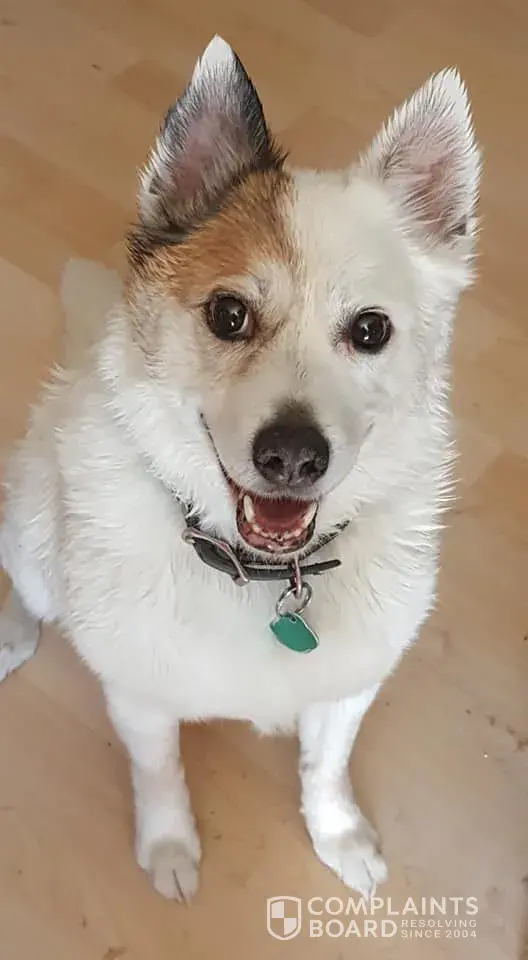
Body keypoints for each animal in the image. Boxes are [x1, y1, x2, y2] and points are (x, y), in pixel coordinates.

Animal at [0, 36, 480, 901]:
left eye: (370, 330)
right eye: (229, 315)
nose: (292, 455)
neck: (261, 575)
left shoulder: (349, 687)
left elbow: (327, 767)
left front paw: (337, 835)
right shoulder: (139, 694)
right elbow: (158, 773)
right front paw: (168, 848)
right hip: (31, 531)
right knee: (28, 586)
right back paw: (13, 635)